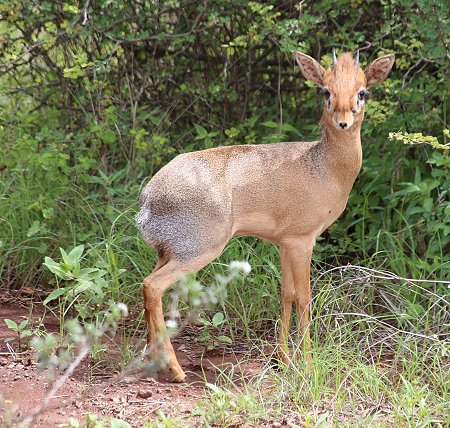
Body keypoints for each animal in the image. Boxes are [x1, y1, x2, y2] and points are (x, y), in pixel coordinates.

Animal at [136, 50, 394, 382]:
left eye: (362, 92)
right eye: (325, 91)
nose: (343, 122)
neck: (325, 169)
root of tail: (148, 197)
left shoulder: (284, 243)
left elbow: (286, 294)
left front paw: (284, 359)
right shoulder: (302, 240)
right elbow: (304, 297)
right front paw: (309, 364)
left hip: (168, 251)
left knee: (147, 289)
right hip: (199, 250)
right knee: (152, 286)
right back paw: (176, 369)